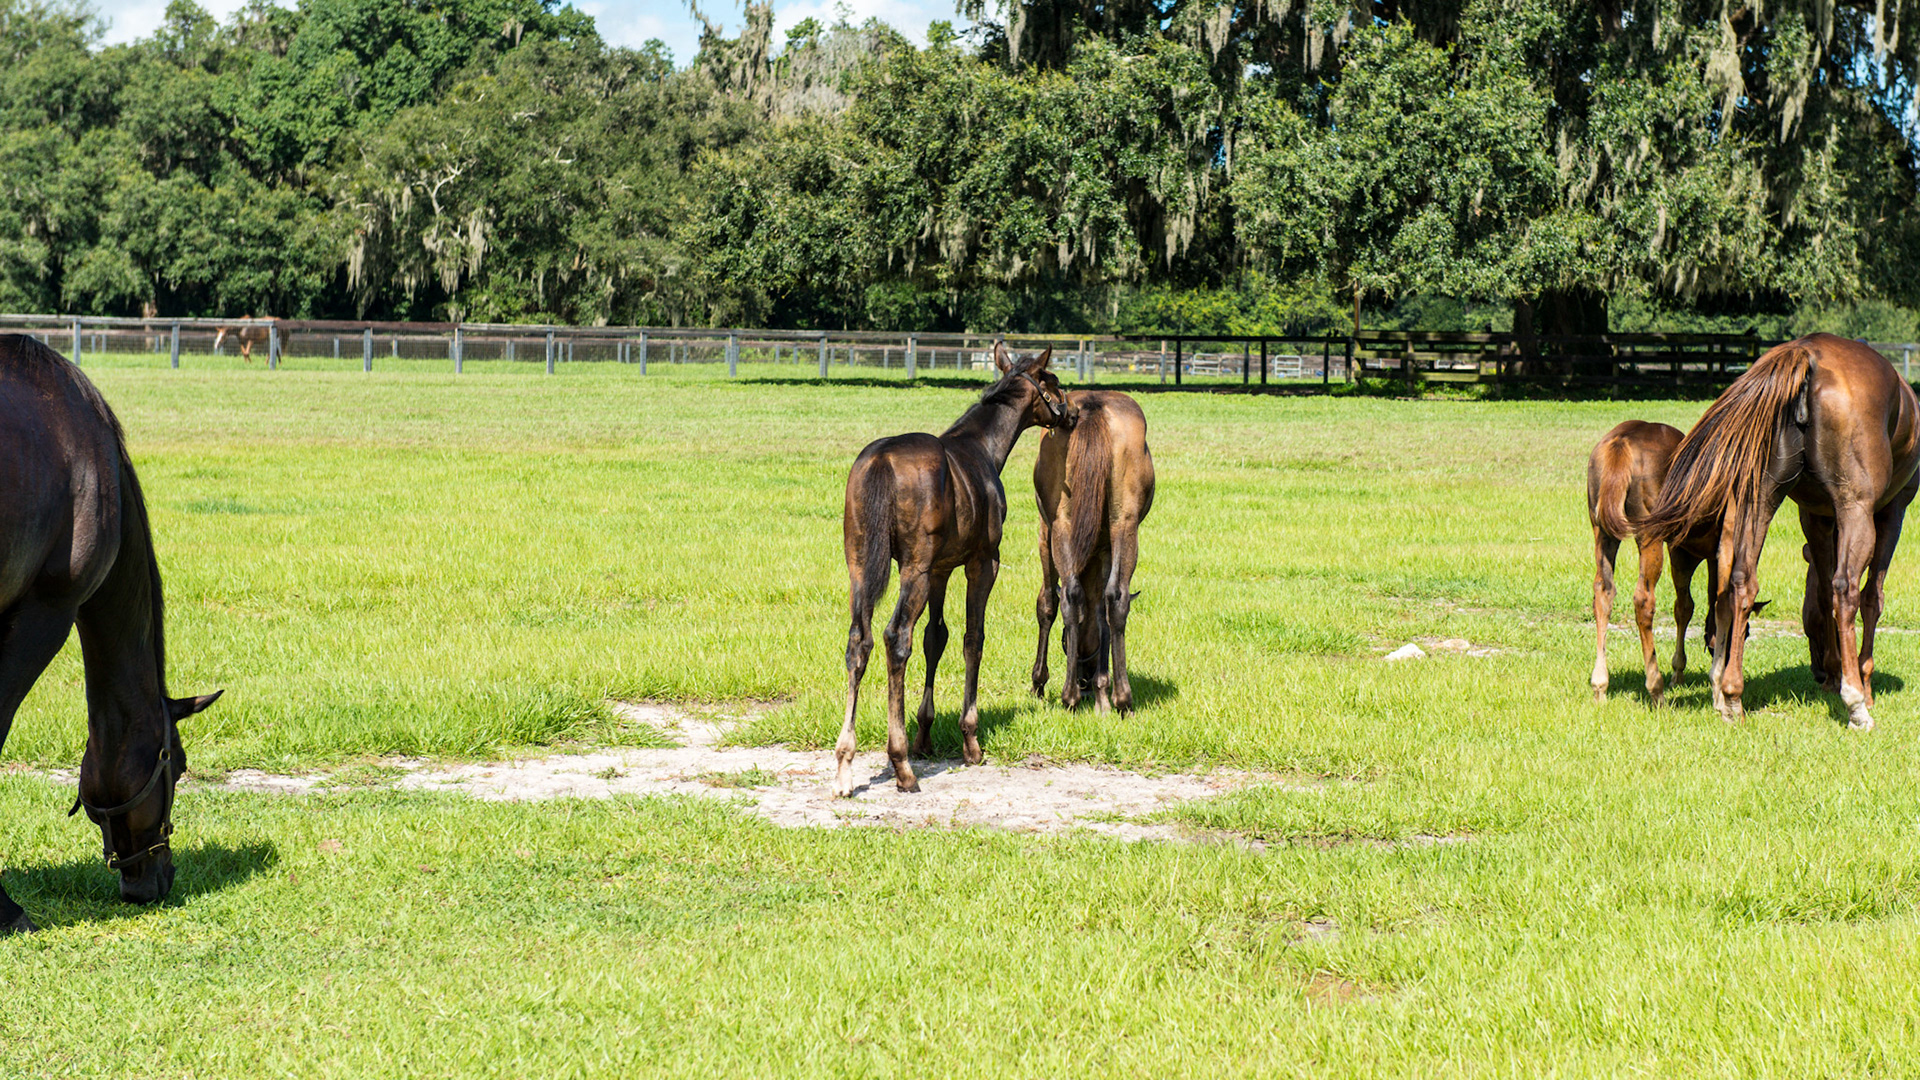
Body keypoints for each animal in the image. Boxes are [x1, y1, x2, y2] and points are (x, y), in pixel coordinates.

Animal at [836, 343, 1068, 797]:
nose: (1071, 414)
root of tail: (880, 460)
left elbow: (936, 638)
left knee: (860, 640)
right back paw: (901, 766)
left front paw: (925, 735)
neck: (980, 448)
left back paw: (844, 765)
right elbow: (972, 639)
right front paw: (970, 741)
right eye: (1052, 383)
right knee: (895, 638)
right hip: (914, 570)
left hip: (861, 566)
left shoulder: (941, 571)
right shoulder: (982, 562)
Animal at [1030, 390, 1155, 712]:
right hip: (1124, 524)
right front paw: (1102, 694)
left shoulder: (1044, 533)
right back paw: (1123, 699)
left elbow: (1047, 603)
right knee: (1116, 598)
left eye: (1064, 641)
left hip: (1060, 526)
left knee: (1070, 595)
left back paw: (1069, 697)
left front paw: (1038, 682)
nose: (1085, 682)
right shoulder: (1105, 549)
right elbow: (1102, 610)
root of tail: (1093, 408)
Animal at [1640, 334, 1920, 727]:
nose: (1820, 672)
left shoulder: (1815, 517)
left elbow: (1822, 595)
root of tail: (1807, 353)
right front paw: (1861, 682)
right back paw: (1855, 704)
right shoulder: (1892, 512)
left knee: (1742, 580)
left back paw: (1732, 697)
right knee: (1847, 588)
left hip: (1761, 497)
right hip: (1856, 508)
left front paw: (1834, 673)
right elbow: (1869, 598)